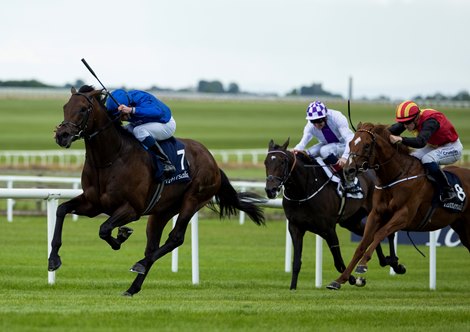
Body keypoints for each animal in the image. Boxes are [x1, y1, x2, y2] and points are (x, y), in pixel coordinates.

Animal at [51, 85, 266, 296]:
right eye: (65, 107)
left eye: (83, 109)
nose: (62, 135)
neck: (111, 158)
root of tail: (213, 162)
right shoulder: (93, 204)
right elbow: (62, 210)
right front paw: (54, 260)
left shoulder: (132, 209)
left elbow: (104, 229)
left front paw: (121, 237)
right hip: (162, 211)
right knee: (152, 246)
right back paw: (132, 288)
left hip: (193, 200)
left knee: (175, 238)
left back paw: (139, 264)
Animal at [262, 139, 402, 290]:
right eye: (266, 162)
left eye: (282, 162)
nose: (270, 190)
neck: (303, 192)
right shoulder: (296, 228)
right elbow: (297, 262)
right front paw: (293, 287)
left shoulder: (328, 229)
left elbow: (338, 262)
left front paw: (349, 280)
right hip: (351, 221)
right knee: (369, 235)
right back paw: (383, 261)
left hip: (377, 212)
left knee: (388, 233)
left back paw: (395, 263)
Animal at [326, 123, 470, 290]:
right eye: (350, 143)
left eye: (367, 145)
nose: (348, 170)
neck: (396, 176)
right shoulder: (376, 214)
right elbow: (363, 243)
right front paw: (340, 280)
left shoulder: (404, 216)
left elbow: (380, 234)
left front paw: (363, 265)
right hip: (461, 226)